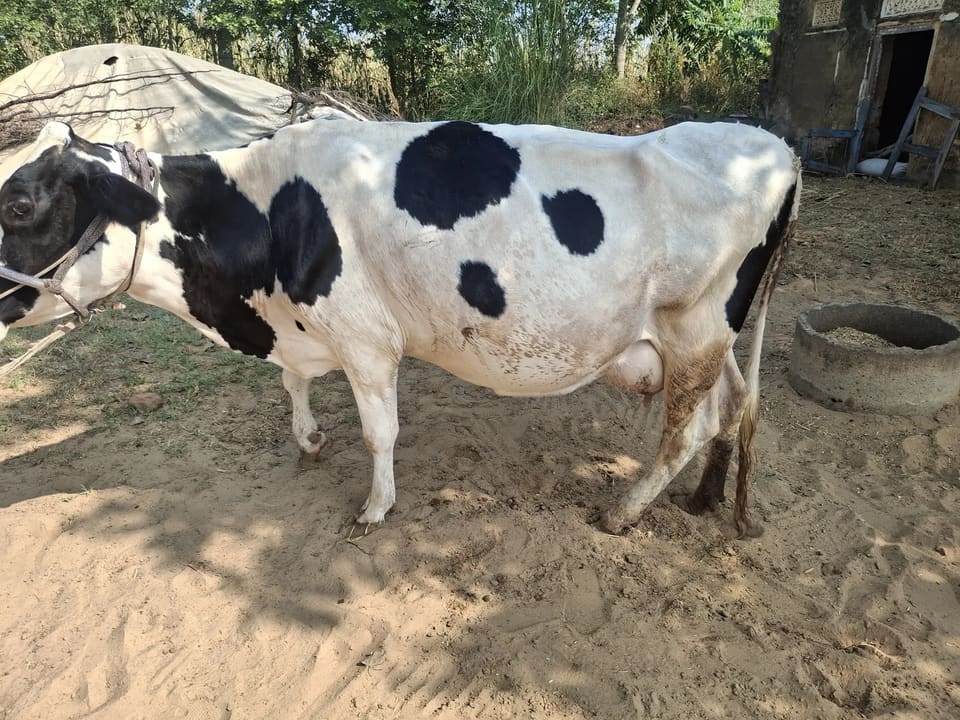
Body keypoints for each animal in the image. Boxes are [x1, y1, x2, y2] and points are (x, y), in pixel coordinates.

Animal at [0, 119, 800, 535]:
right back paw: (707, 498)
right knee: (736, 405)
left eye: (20, 206)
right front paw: (308, 439)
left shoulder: (365, 339)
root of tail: (774, 145)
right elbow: (293, 387)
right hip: (715, 338)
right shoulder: (305, 330)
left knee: (689, 429)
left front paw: (376, 506)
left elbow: (378, 432)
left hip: (694, 331)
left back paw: (627, 509)